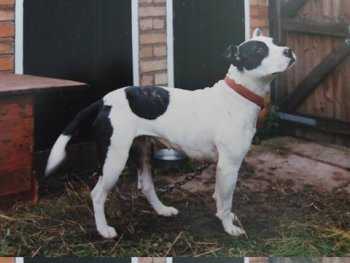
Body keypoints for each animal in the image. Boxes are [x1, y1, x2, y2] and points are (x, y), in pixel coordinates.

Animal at [44, 28, 296, 239]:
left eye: (274, 42)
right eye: (259, 51)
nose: (289, 50)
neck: (238, 94)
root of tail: (104, 100)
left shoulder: (222, 166)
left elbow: (219, 195)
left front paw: (224, 215)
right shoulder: (229, 165)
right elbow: (226, 200)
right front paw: (228, 226)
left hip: (143, 150)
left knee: (146, 186)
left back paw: (162, 210)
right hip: (114, 159)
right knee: (97, 194)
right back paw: (104, 230)